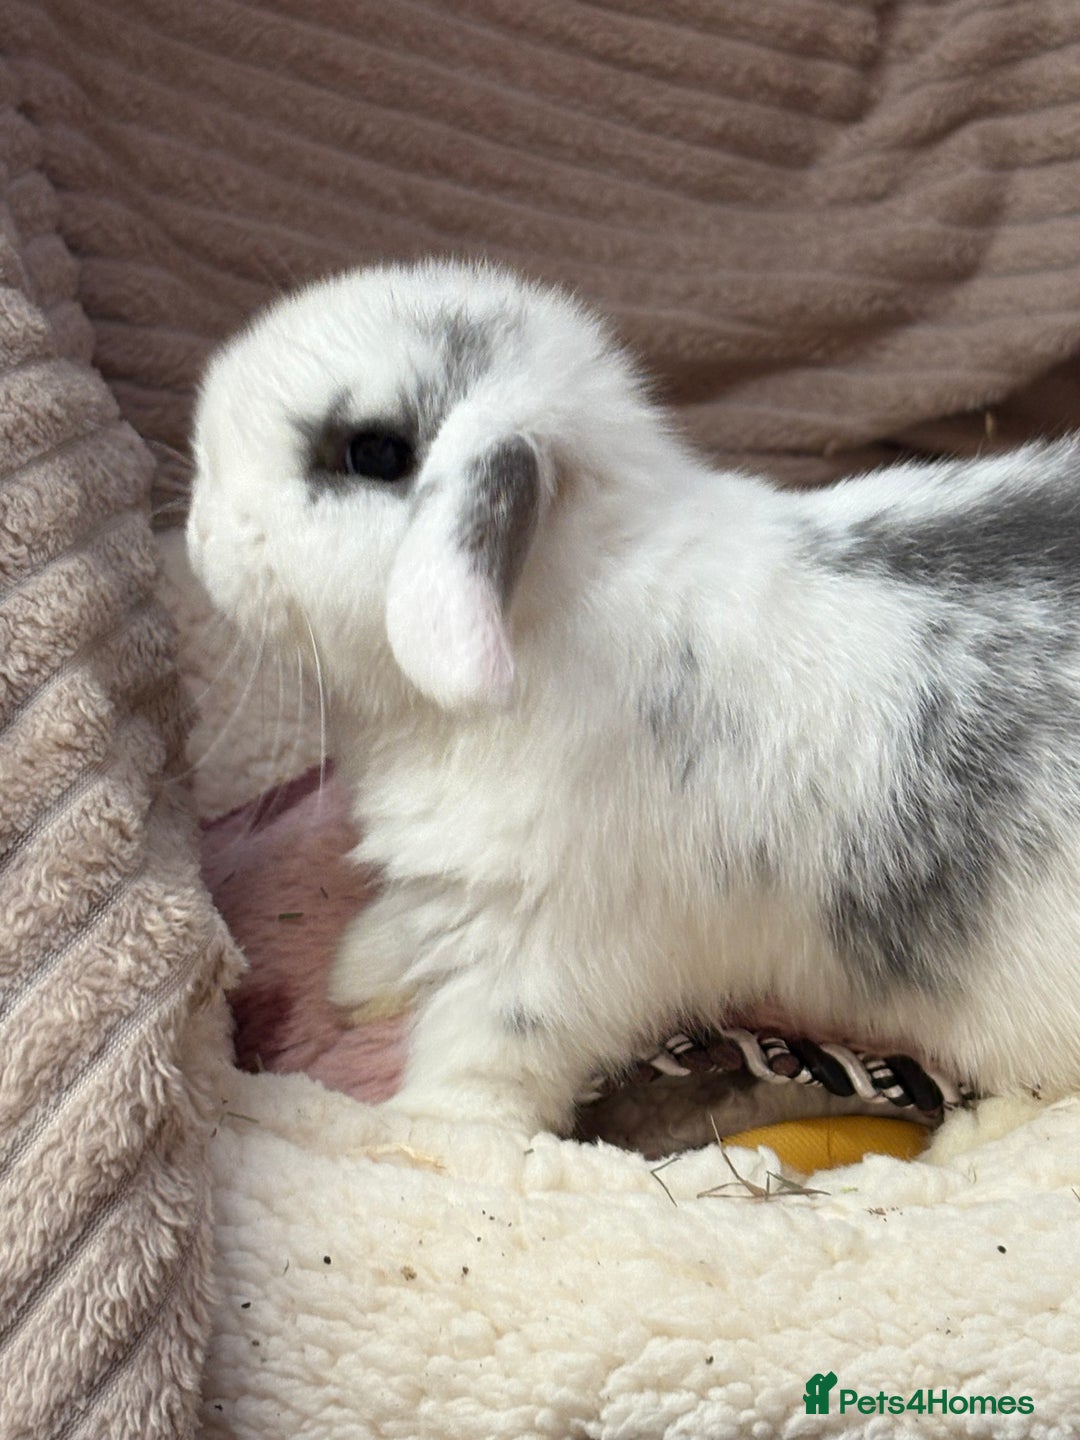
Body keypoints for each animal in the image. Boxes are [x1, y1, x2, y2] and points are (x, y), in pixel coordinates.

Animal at [188, 257, 1080, 1137]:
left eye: (373, 452)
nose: (196, 536)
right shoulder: (459, 893)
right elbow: (411, 929)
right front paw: (357, 976)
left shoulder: (552, 945)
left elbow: (488, 1050)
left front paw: (429, 1133)